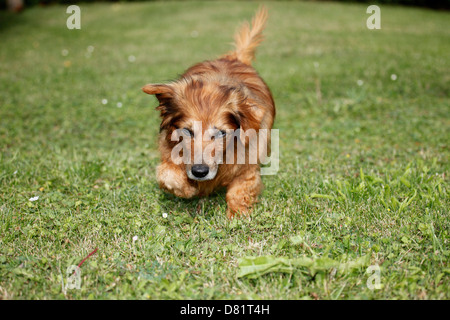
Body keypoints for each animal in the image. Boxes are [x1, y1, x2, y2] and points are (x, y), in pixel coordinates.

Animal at [142, 6, 276, 218]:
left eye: (221, 133)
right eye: (187, 131)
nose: (199, 171)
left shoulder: (248, 167)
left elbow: (240, 190)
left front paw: (237, 215)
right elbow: (167, 174)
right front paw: (187, 188)